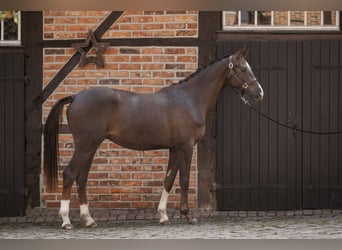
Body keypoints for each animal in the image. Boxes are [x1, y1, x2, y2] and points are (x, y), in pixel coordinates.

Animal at [44, 46, 264, 229]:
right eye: (243, 68)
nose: (259, 93)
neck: (190, 98)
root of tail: (76, 97)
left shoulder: (174, 148)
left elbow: (168, 180)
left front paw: (163, 216)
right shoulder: (186, 147)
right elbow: (184, 179)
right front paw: (188, 215)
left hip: (91, 147)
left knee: (81, 178)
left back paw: (89, 219)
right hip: (84, 146)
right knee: (69, 174)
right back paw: (66, 221)